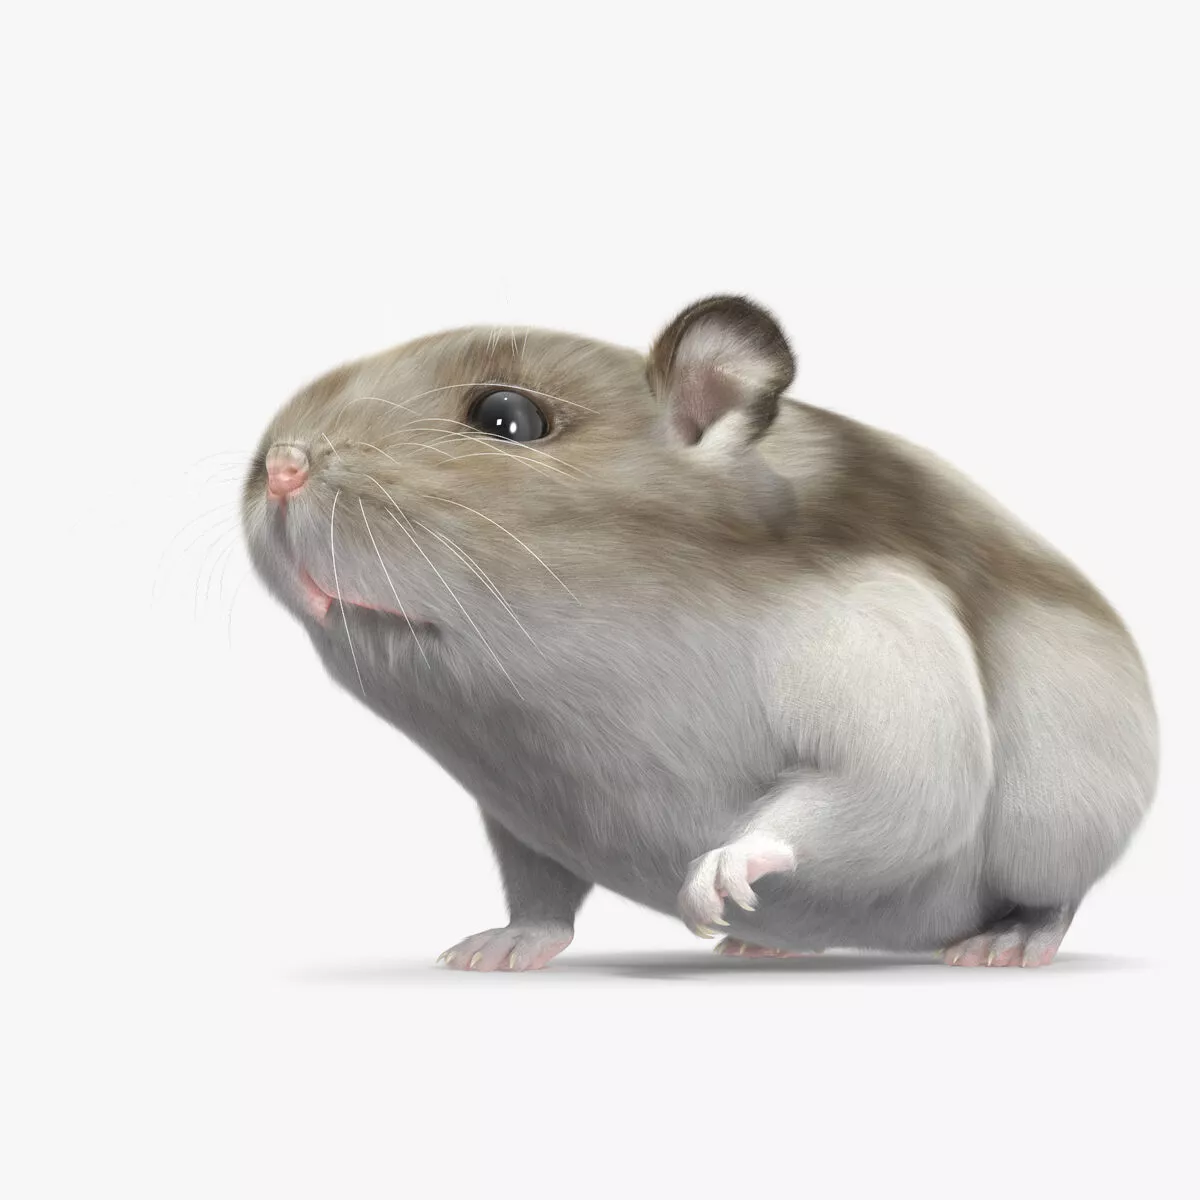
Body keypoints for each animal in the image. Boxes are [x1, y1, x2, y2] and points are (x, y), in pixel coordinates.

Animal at [241, 296, 1157, 970]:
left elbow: (900, 785)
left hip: (1061, 811)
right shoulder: (518, 818)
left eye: (505, 416)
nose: (281, 468)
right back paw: (766, 945)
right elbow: (539, 895)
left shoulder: (879, 644)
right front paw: (494, 949)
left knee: (1053, 887)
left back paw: (1008, 941)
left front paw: (717, 879)